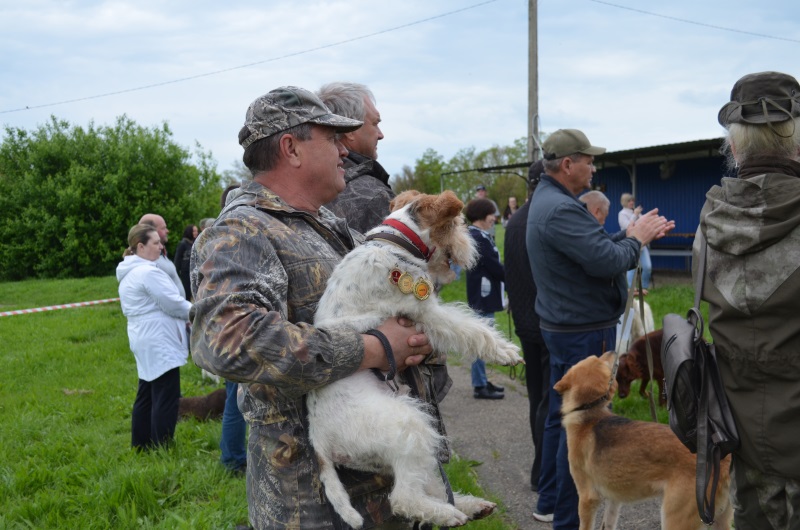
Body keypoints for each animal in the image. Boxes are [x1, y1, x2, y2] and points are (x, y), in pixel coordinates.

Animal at [308, 190, 524, 528]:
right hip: (408, 426)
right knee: (403, 499)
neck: (394, 245)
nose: (474, 250)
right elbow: (471, 328)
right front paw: (506, 352)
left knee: (431, 485)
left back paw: (472, 506)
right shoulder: (426, 311)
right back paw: (450, 514)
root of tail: (319, 442)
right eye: (456, 223)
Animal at [556, 350, 732, 528]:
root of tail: (723, 460)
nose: (613, 351)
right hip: (718, 519)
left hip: (675, 518)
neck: (589, 415)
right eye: (598, 359)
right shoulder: (613, 499)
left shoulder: (587, 498)